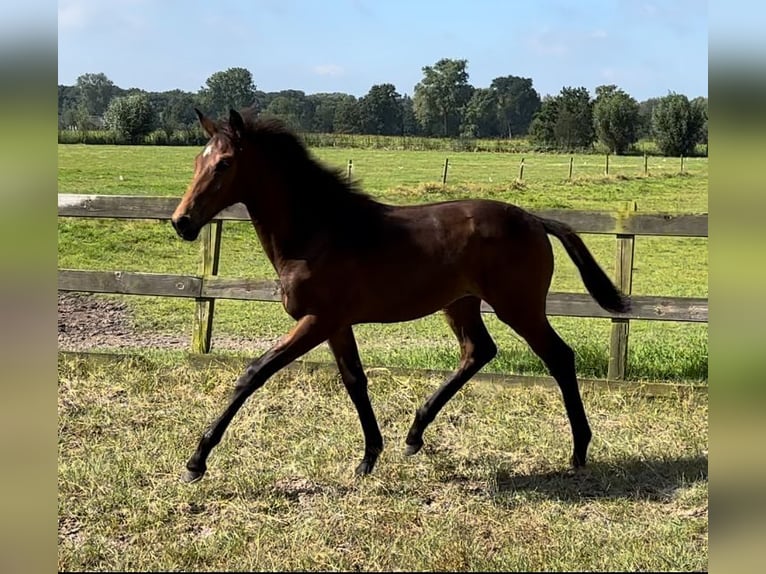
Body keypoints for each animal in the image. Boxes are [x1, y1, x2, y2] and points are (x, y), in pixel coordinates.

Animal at [172, 108, 632, 486]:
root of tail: (535, 220)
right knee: (478, 351)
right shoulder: (337, 324)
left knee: (559, 357)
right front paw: (368, 457)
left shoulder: (317, 320)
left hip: (519, 308)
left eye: (225, 163)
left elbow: (254, 373)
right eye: (196, 161)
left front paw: (196, 462)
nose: (182, 222)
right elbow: (355, 381)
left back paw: (579, 450)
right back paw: (414, 435)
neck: (319, 232)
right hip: (461, 304)